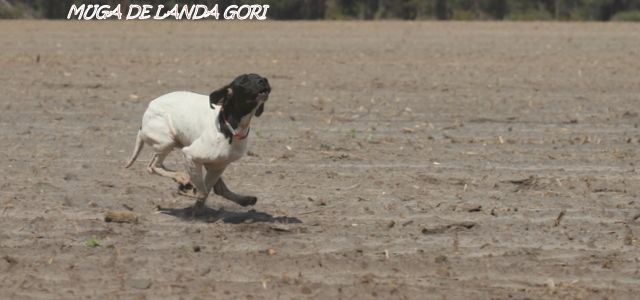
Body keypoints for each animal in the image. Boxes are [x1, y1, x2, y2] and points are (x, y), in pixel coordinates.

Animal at [125, 73, 270, 213]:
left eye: (261, 77)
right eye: (244, 80)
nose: (263, 81)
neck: (229, 127)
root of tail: (145, 116)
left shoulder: (218, 166)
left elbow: (206, 191)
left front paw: (196, 206)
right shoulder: (190, 155)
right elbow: (202, 192)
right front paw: (188, 191)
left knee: (217, 188)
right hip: (167, 142)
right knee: (153, 166)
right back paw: (182, 178)